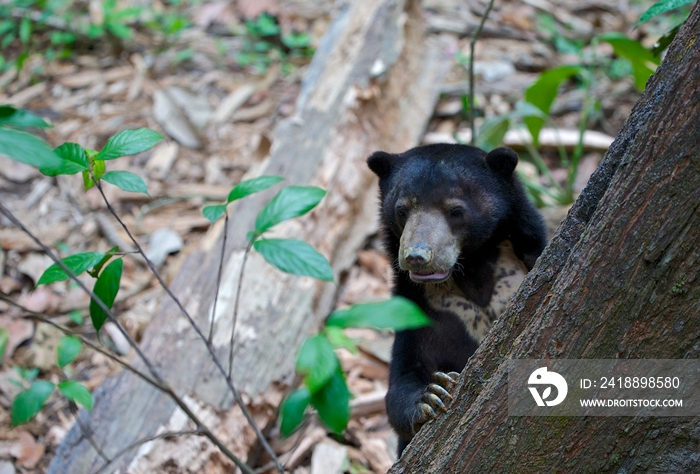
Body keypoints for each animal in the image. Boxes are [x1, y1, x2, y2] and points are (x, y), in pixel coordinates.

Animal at [366, 143, 548, 456]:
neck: (472, 272)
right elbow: (402, 380)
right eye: (401, 210)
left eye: (456, 211)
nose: (417, 256)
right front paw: (430, 397)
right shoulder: (419, 308)